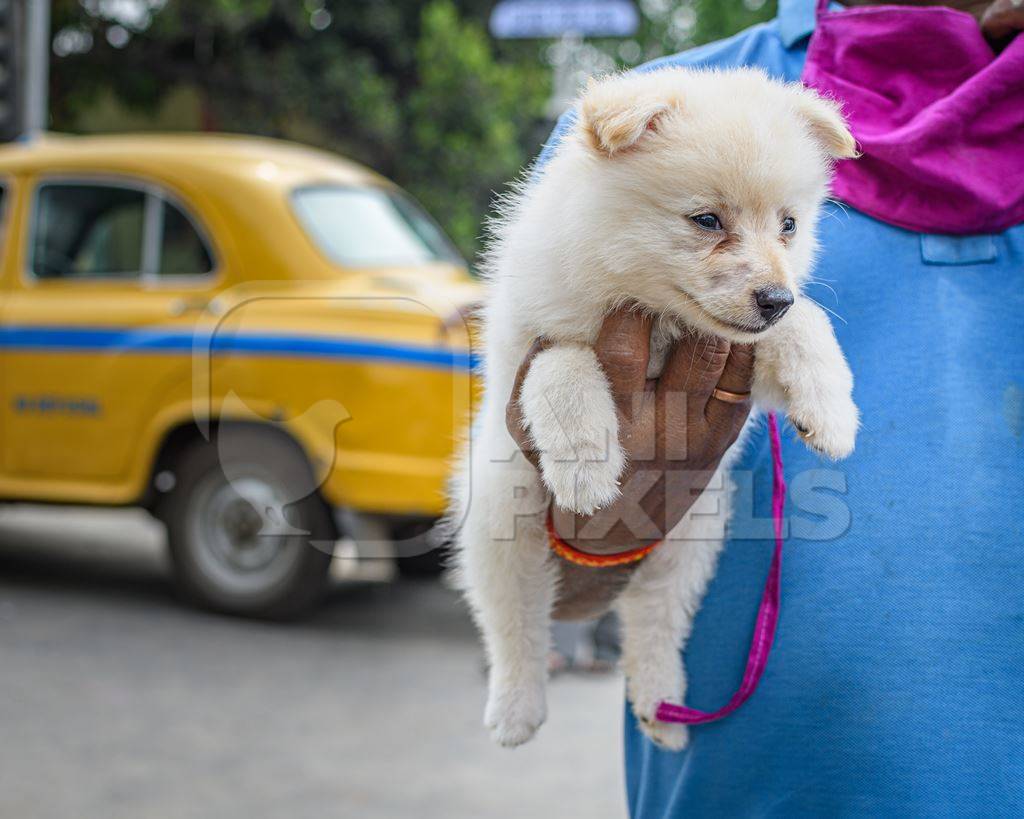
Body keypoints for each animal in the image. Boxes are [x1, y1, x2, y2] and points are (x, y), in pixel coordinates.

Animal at [452, 67, 860, 753]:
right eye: (706, 219)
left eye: (788, 225)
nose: (773, 297)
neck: (661, 316)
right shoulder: (535, 340)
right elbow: (565, 372)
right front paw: (586, 469)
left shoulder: (743, 353)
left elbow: (807, 324)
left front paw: (831, 409)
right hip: (502, 529)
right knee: (516, 627)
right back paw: (515, 709)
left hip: (687, 548)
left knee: (653, 628)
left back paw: (661, 708)